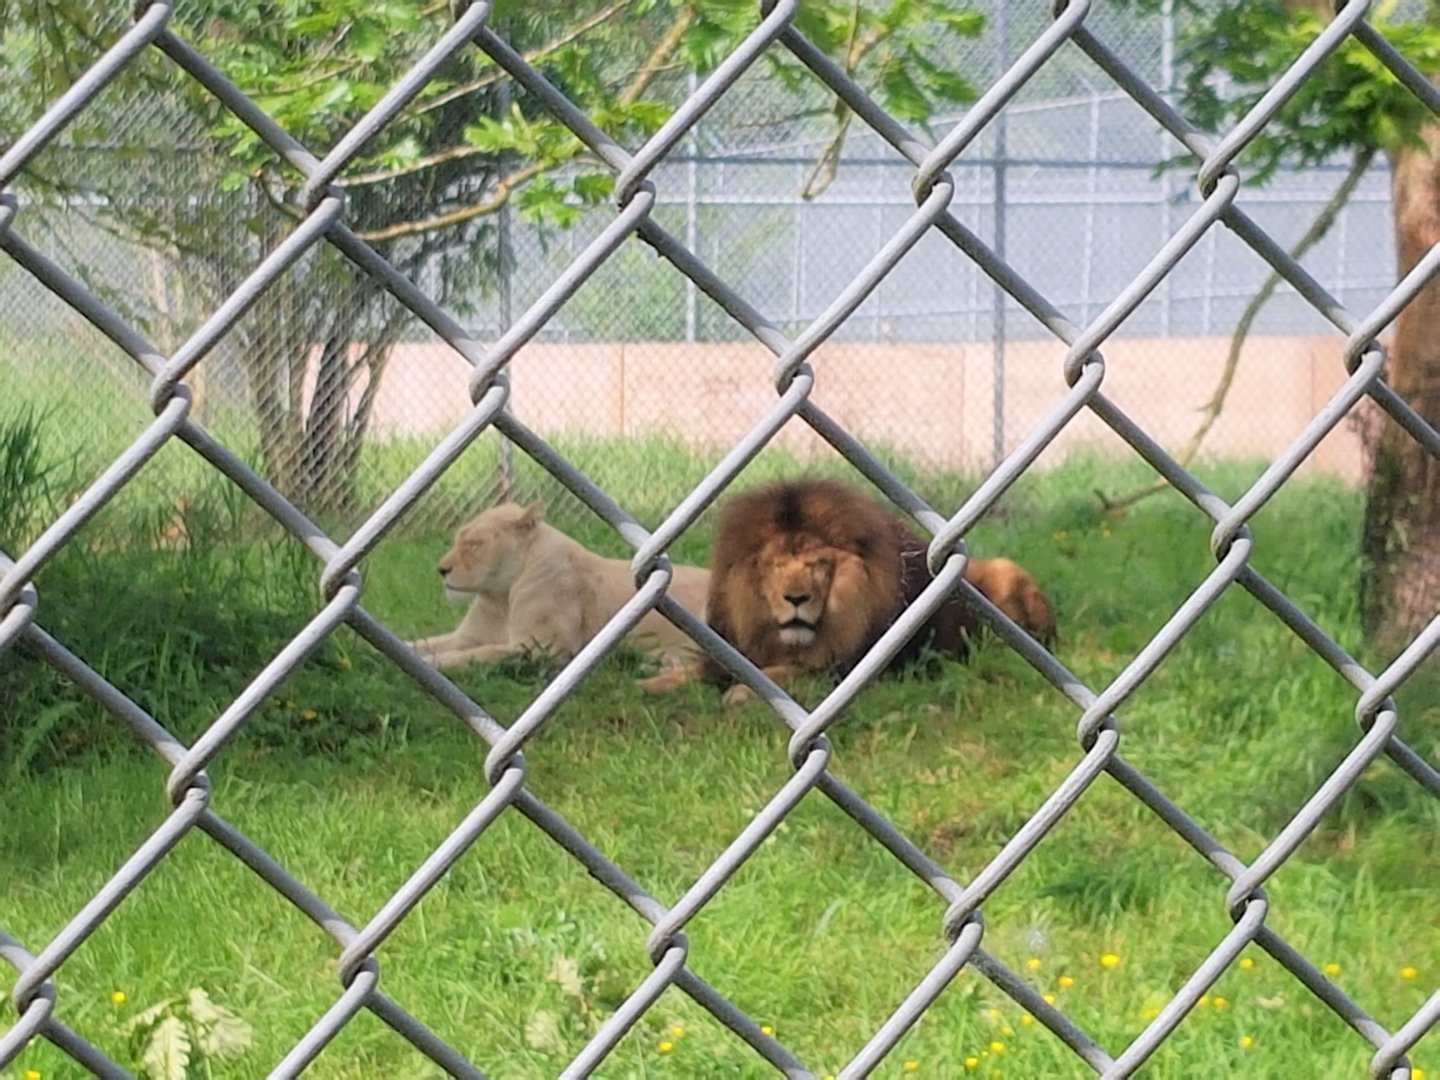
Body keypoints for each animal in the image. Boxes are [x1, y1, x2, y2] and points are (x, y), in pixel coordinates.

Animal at [407, 501, 710, 671]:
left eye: (474, 544)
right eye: (457, 540)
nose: (441, 569)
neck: (501, 597)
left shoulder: (543, 648)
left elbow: (481, 654)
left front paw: (434, 664)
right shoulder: (466, 637)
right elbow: (424, 643)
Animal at [640, 479, 1056, 701]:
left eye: (818, 565)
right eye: (775, 566)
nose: (796, 599)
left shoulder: (840, 669)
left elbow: (782, 675)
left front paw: (741, 692)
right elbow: (689, 673)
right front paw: (646, 685)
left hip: (1004, 573)